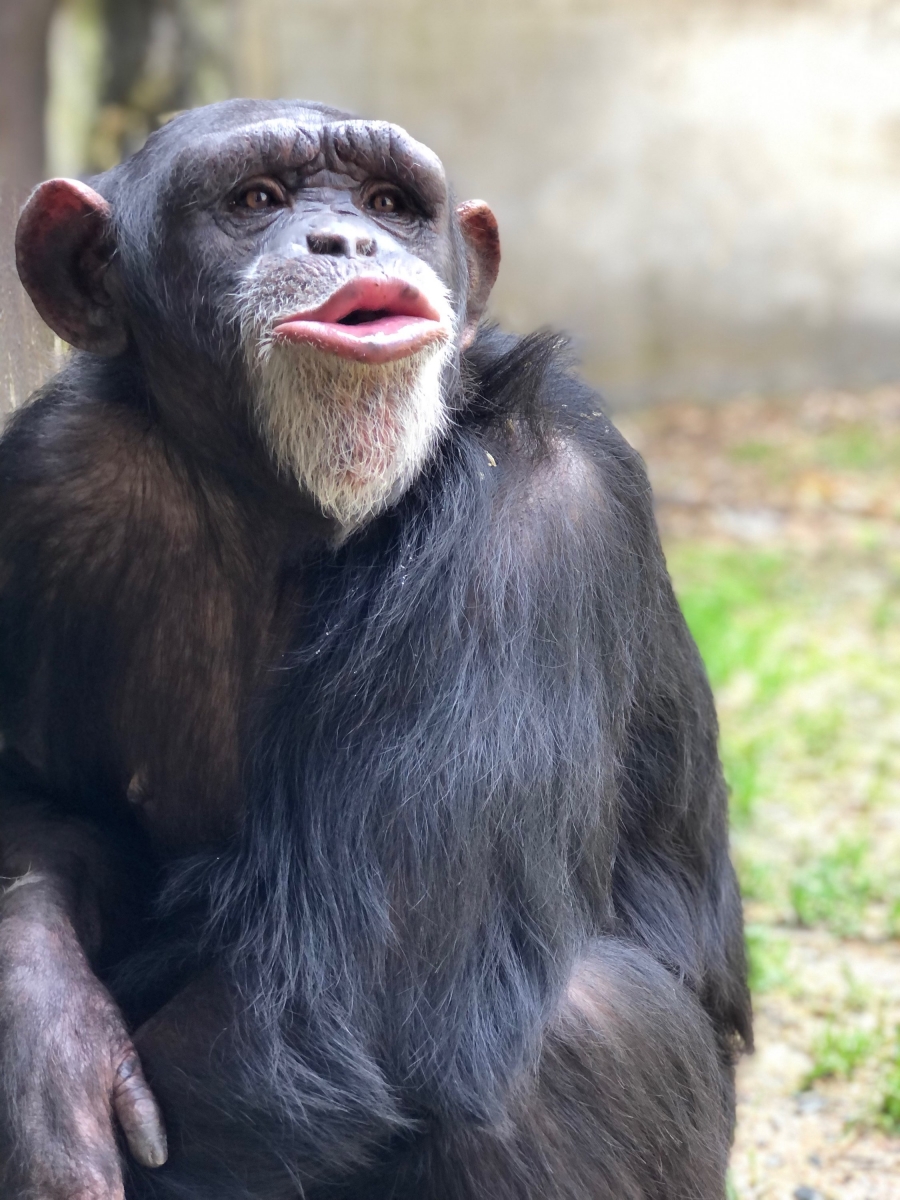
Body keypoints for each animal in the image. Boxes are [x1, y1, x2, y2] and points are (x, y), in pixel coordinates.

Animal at [0, 100, 748, 1200]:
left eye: (391, 203)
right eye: (258, 198)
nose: (348, 240)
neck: (279, 500)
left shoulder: (531, 514)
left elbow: (342, 1002)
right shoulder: (44, 480)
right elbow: (38, 802)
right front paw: (48, 1044)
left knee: (578, 1033)